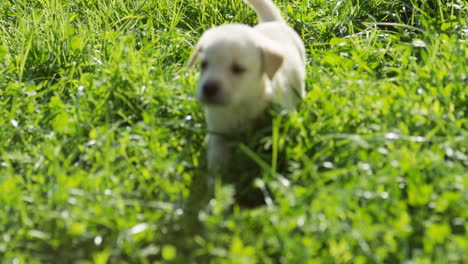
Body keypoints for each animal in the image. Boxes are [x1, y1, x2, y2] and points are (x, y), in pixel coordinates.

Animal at [188, 0, 306, 171]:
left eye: (238, 69)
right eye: (203, 65)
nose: (208, 88)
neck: (240, 106)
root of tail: (273, 22)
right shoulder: (218, 135)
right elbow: (217, 162)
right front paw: (217, 177)